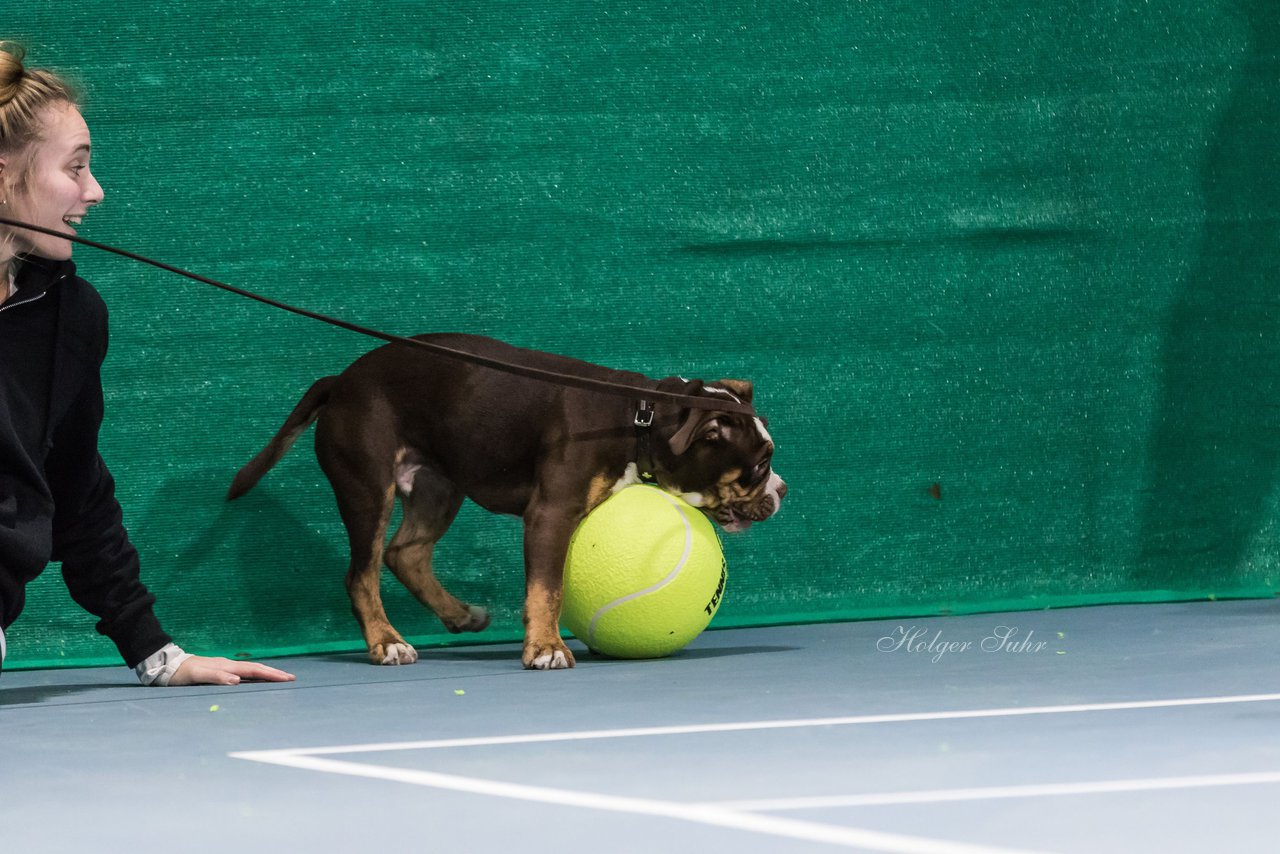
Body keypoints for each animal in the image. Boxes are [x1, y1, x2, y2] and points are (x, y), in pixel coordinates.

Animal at [232, 332, 788, 665]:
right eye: (761, 463)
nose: (781, 489)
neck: (639, 416)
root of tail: (341, 381)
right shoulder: (550, 515)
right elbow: (547, 589)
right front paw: (545, 647)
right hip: (368, 490)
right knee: (362, 574)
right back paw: (387, 642)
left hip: (438, 486)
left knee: (404, 552)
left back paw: (460, 615)